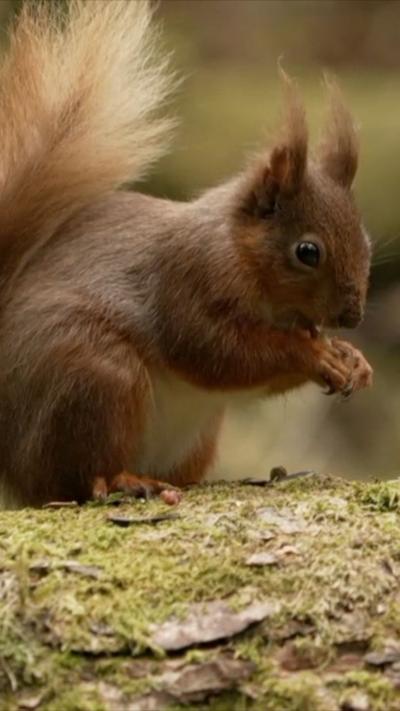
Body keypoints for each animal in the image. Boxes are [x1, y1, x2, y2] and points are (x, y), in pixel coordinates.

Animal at [0, 0, 373, 507]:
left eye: (366, 240)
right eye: (307, 251)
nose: (352, 315)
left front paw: (353, 360)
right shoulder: (186, 280)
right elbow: (216, 351)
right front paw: (314, 355)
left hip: (196, 433)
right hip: (94, 377)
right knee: (73, 476)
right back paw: (122, 480)